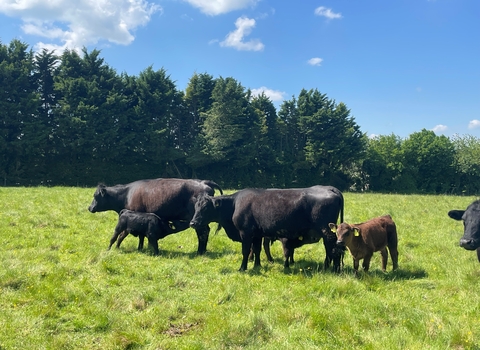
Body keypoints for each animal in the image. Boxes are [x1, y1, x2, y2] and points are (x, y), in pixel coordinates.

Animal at [88, 179, 223, 253]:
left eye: (95, 196)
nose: (89, 207)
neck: (126, 194)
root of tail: (203, 182)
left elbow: (140, 235)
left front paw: (142, 248)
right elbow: (141, 236)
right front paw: (143, 248)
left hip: (198, 219)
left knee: (203, 233)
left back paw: (200, 251)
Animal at [189, 186, 344, 270]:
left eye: (206, 208)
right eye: (195, 207)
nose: (192, 223)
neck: (234, 204)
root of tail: (330, 188)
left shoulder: (245, 233)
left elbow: (246, 251)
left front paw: (242, 268)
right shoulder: (257, 234)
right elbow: (257, 250)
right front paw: (257, 265)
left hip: (327, 231)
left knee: (334, 249)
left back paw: (334, 269)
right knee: (330, 249)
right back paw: (327, 266)